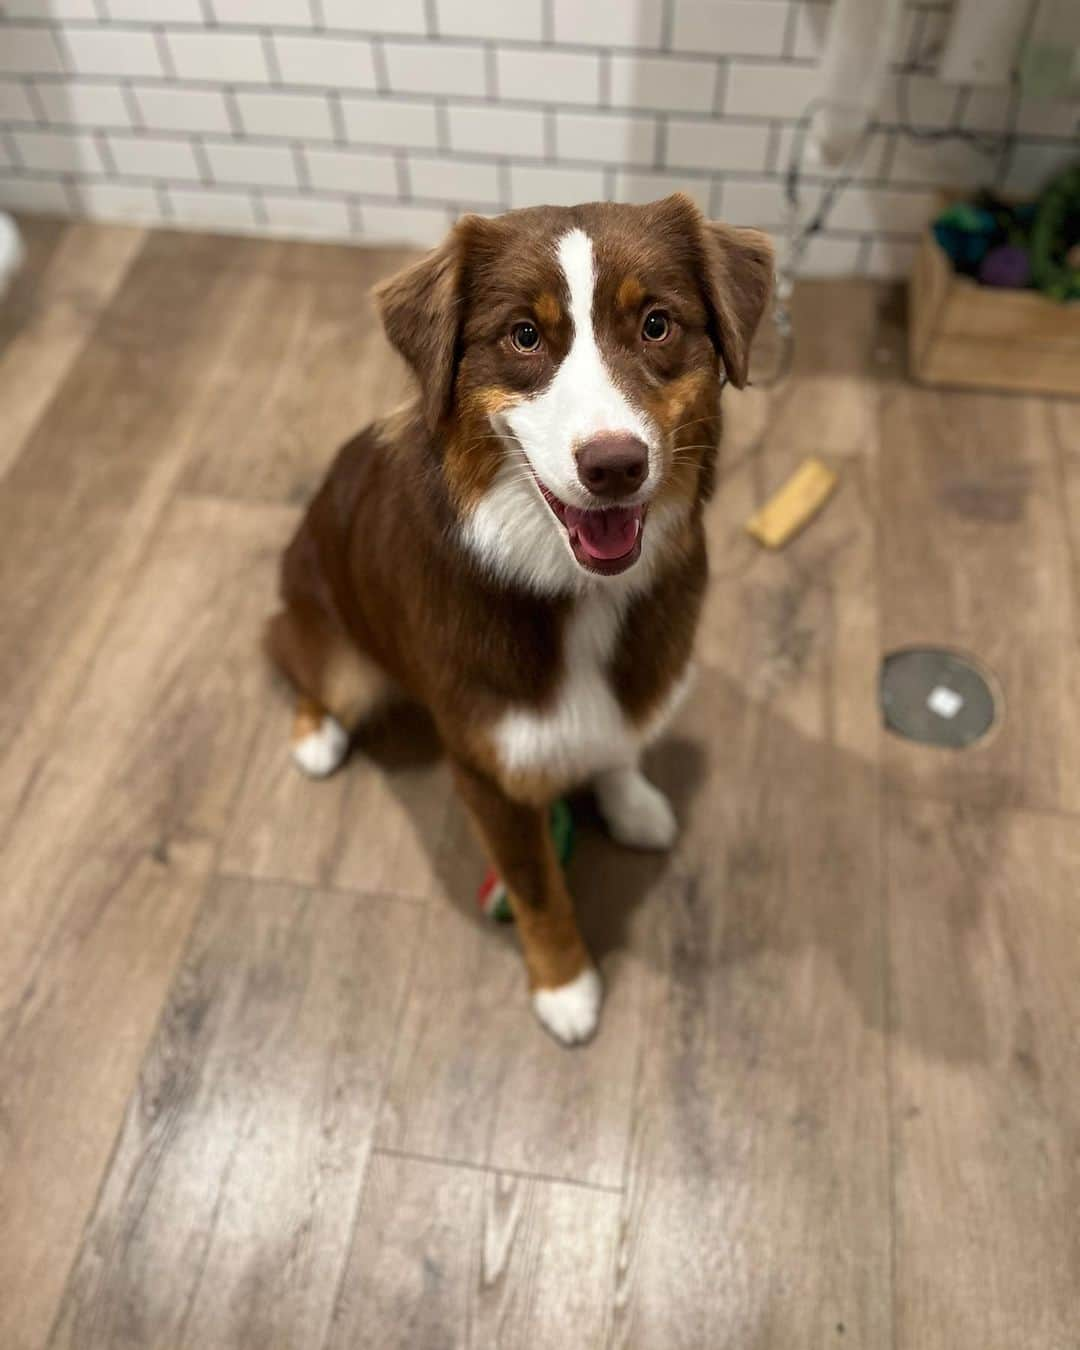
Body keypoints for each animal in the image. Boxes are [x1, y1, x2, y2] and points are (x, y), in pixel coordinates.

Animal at [270, 190, 777, 1042]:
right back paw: (315, 736)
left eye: (657, 323)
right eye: (525, 336)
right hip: (332, 642)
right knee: (307, 667)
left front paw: (629, 798)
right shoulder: (489, 773)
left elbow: (616, 740)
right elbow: (539, 890)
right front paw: (565, 986)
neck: (577, 590)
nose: (614, 465)